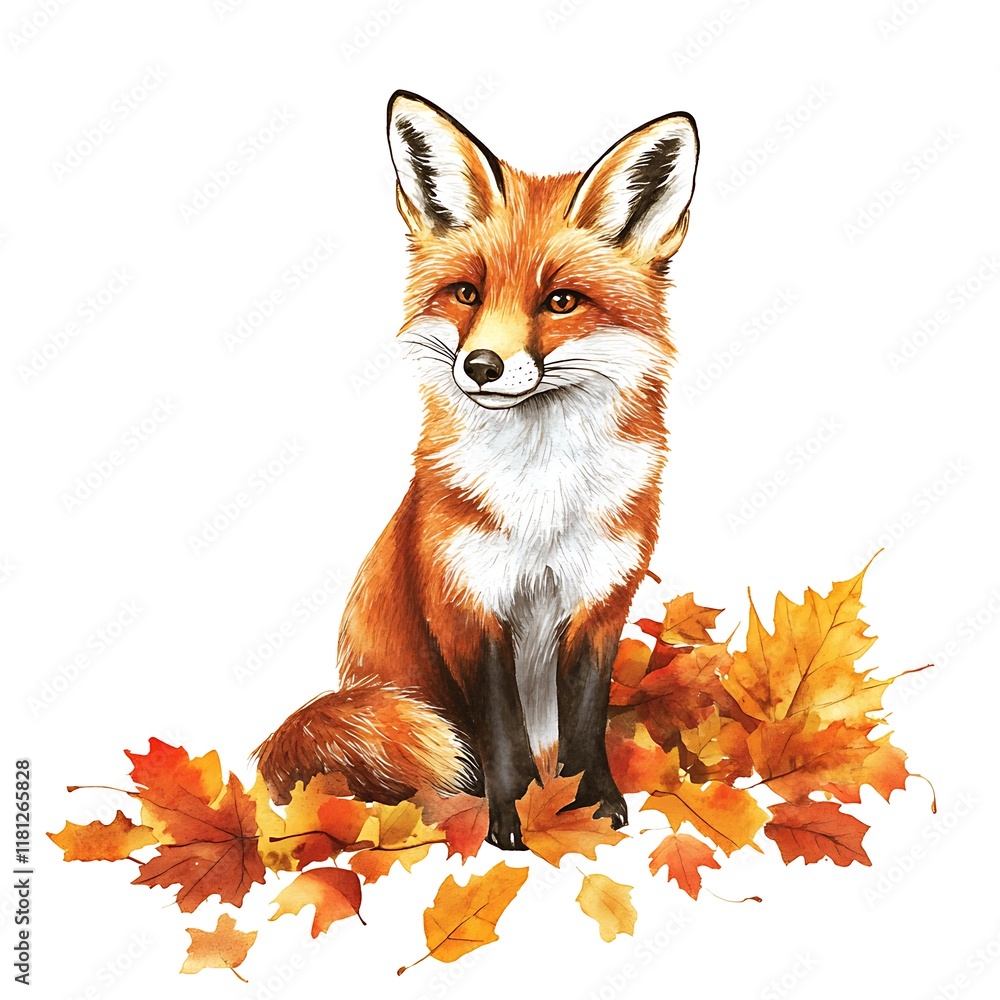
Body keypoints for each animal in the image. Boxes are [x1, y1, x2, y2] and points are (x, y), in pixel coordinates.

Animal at [254, 91, 699, 849]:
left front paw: (592, 804)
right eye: (466, 293)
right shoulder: (466, 604)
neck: (543, 496)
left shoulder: (601, 601)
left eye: (561, 301)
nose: (482, 366)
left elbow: (585, 725)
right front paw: (511, 817)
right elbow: (502, 736)